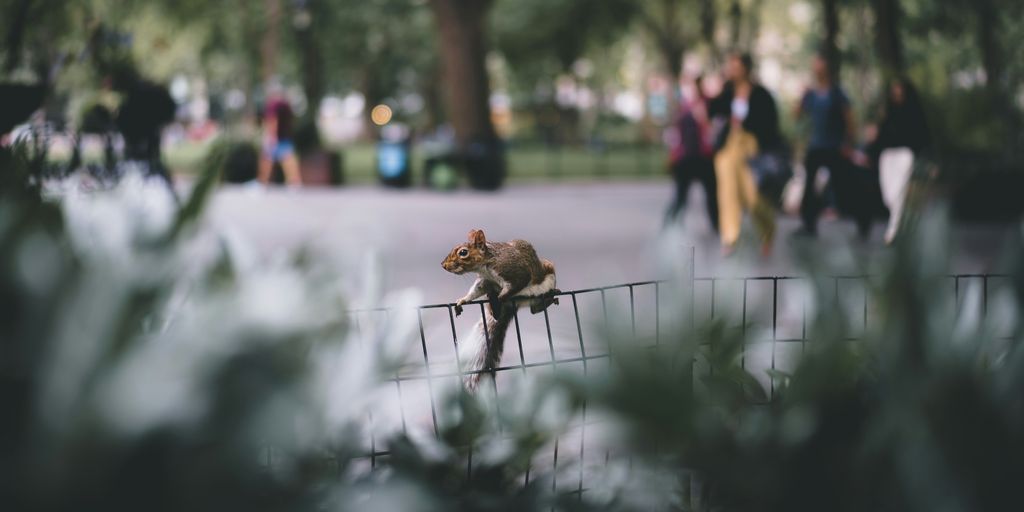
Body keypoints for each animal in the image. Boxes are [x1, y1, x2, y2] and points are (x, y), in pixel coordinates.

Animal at [441, 229, 560, 389]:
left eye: (463, 252)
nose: (443, 265)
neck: (486, 264)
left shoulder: (515, 272)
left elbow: (516, 284)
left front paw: (500, 297)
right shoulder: (485, 281)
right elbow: (476, 291)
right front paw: (463, 300)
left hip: (548, 274)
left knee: (535, 307)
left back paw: (551, 296)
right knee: (532, 310)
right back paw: (495, 306)